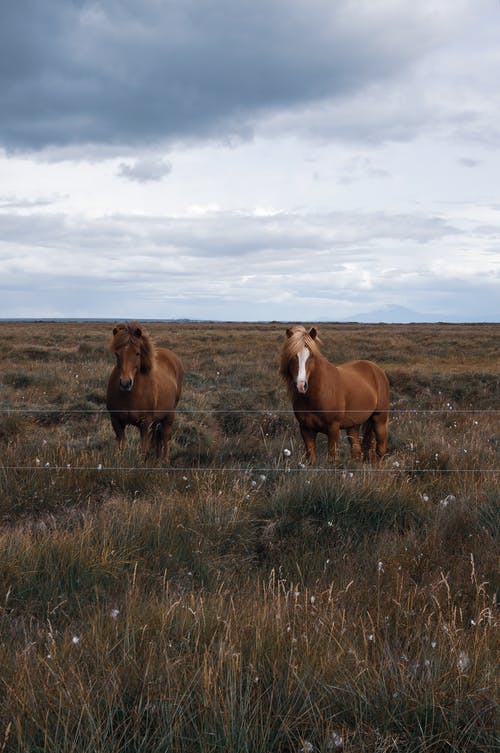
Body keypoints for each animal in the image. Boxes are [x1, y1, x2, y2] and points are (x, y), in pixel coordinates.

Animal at [106, 322, 184, 462]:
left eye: (137, 353)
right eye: (117, 354)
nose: (125, 383)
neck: (129, 396)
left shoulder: (145, 423)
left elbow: (143, 450)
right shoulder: (116, 421)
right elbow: (120, 447)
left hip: (169, 415)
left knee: (165, 436)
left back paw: (164, 461)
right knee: (157, 437)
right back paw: (156, 459)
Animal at [280, 324, 388, 464]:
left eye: (311, 356)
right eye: (293, 356)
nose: (301, 386)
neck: (316, 396)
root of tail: (376, 369)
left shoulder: (333, 428)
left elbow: (332, 457)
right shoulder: (306, 429)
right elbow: (311, 458)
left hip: (379, 419)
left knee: (381, 449)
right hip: (353, 425)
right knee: (357, 450)